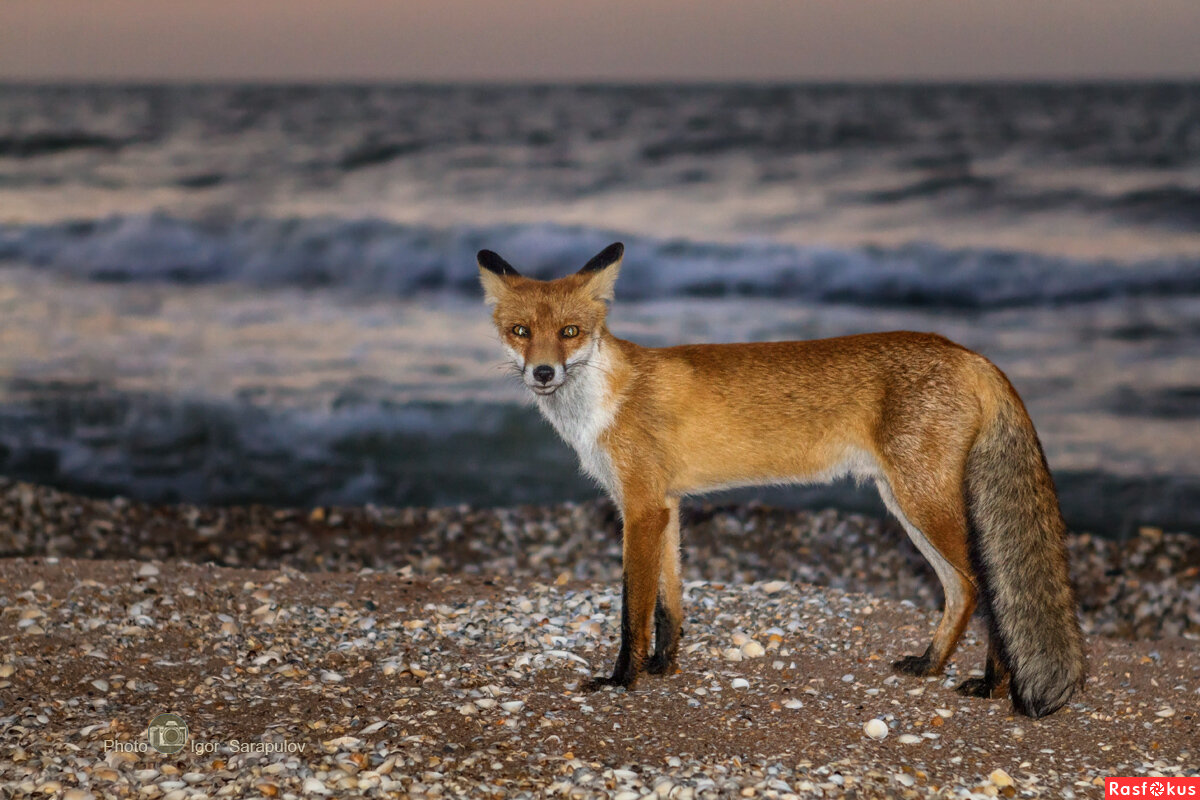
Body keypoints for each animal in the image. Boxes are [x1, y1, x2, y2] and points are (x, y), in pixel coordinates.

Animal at [475, 242, 1089, 719]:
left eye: (570, 332)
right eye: (521, 331)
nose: (543, 373)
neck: (607, 400)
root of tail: (969, 354)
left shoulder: (642, 507)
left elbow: (633, 610)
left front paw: (623, 679)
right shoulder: (665, 505)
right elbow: (670, 606)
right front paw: (662, 668)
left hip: (922, 502)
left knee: (989, 588)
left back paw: (995, 684)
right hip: (906, 504)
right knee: (962, 590)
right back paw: (931, 664)